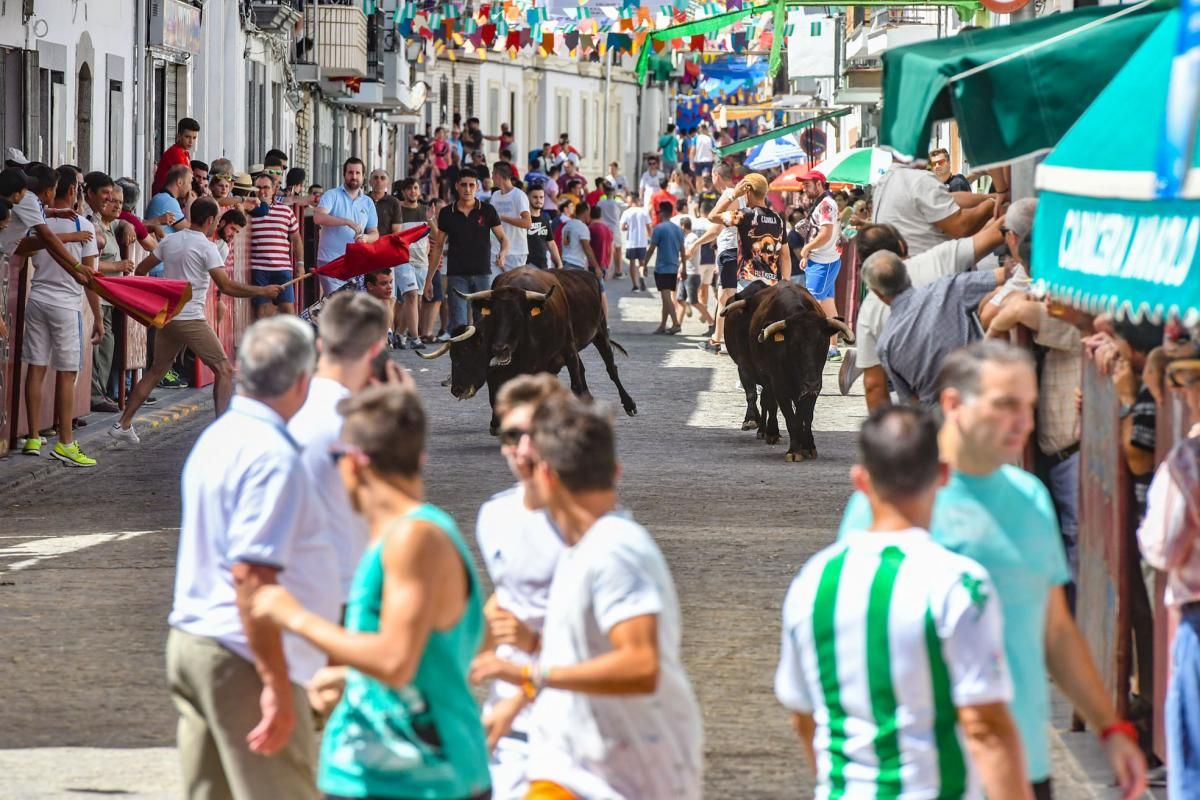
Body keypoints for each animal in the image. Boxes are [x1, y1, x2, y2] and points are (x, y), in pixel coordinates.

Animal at [417, 267, 638, 431]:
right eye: (494, 315)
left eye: (467, 353)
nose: (457, 389)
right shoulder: (502, 369)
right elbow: (499, 394)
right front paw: (497, 423)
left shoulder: (567, 350)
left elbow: (576, 384)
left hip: (599, 331)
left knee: (610, 368)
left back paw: (628, 404)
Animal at [720, 281, 854, 460]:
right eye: (794, 344)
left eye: (821, 343)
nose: (811, 383)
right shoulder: (776, 382)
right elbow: (789, 417)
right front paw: (794, 451)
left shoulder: (813, 385)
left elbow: (805, 416)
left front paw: (808, 446)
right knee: (763, 400)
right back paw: (766, 430)